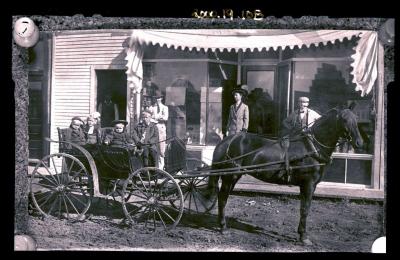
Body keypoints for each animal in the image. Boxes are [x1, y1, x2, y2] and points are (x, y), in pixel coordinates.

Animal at [205, 106, 364, 245]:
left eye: (356, 118)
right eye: (344, 119)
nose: (359, 142)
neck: (312, 148)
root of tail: (226, 141)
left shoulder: (306, 186)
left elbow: (303, 208)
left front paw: (301, 234)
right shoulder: (309, 184)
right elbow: (305, 209)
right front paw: (303, 237)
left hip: (233, 176)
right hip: (229, 176)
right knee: (222, 198)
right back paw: (223, 227)